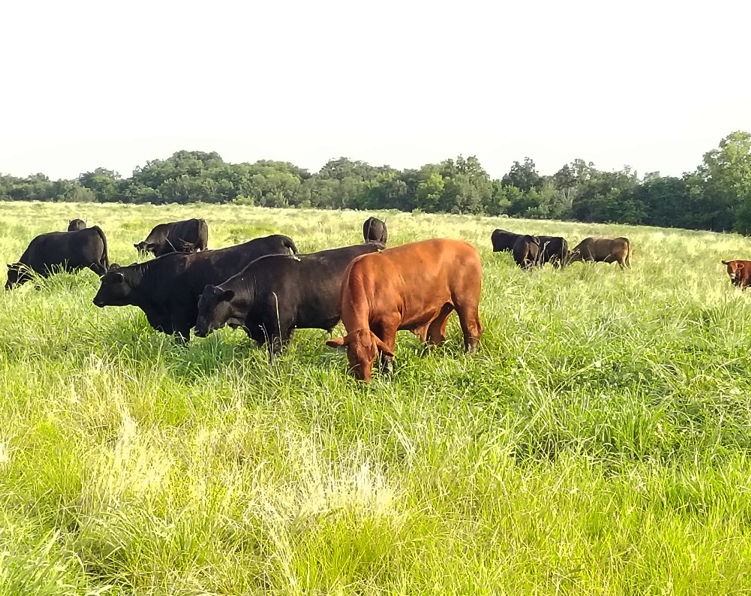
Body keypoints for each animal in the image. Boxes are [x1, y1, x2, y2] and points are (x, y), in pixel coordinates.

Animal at [326, 237, 484, 382]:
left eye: (372, 356)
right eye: (353, 355)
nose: (365, 381)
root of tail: (465, 245)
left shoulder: (390, 321)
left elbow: (387, 353)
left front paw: (387, 375)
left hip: (466, 302)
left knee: (471, 329)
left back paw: (469, 355)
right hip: (443, 307)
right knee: (436, 335)